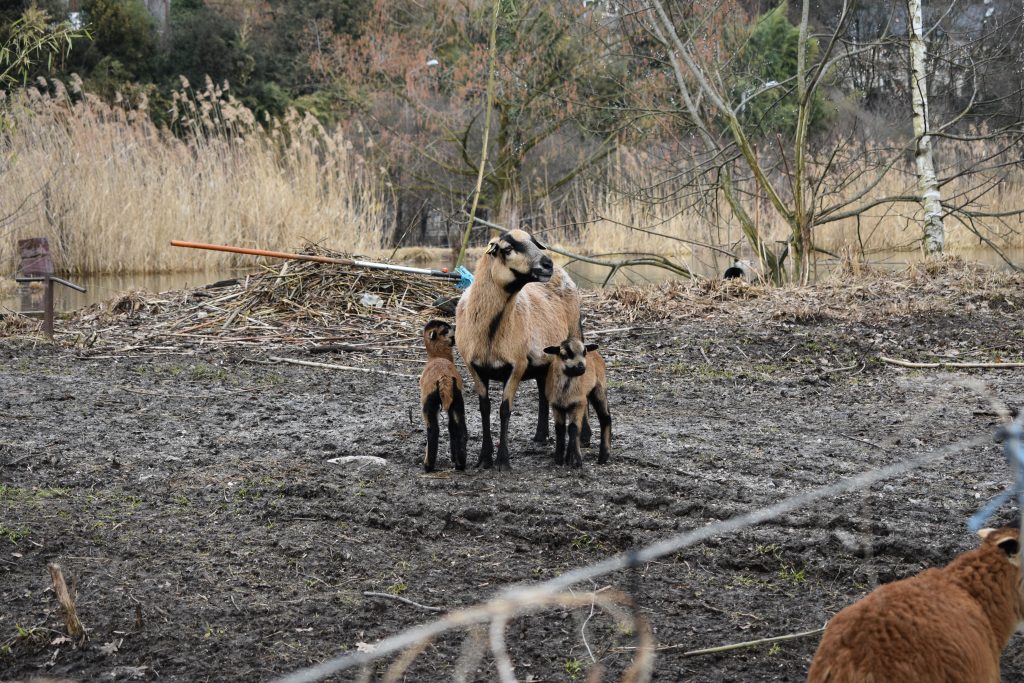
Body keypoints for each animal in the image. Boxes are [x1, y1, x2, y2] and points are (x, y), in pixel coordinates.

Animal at [419, 320, 467, 472]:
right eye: (445, 329)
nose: (456, 328)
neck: (438, 357)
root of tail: (444, 377)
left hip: (429, 401)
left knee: (433, 429)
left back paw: (428, 466)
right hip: (457, 398)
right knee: (459, 427)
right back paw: (460, 464)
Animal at [455, 229, 583, 471]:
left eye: (535, 243)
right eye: (507, 249)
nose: (548, 264)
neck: (491, 332)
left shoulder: (517, 365)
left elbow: (505, 410)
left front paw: (503, 461)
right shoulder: (474, 367)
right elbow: (484, 408)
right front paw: (484, 459)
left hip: (575, 332)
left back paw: (585, 438)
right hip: (546, 359)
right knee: (543, 392)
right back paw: (540, 436)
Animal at [543, 339, 611, 468]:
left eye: (584, 353)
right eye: (564, 355)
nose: (581, 367)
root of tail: (596, 353)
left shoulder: (577, 404)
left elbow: (573, 428)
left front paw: (574, 460)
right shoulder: (556, 405)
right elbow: (560, 428)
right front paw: (559, 458)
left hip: (599, 389)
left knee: (605, 418)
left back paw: (603, 457)